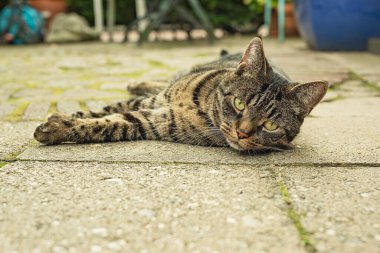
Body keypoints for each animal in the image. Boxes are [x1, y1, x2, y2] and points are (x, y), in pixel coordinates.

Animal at [34, 37, 328, 151]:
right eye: (238, 103)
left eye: (270, 125)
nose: (242, 133)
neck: (201, 106)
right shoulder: (152, 101)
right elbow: (105, 110)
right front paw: (61, 121)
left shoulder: (154, 121)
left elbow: (108, 123)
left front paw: (59, 127)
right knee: (164, 79)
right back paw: (136, 81)